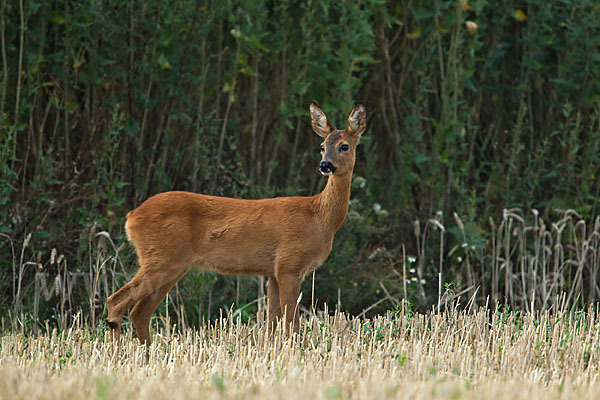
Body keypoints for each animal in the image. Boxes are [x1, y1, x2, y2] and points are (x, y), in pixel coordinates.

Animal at [107, 101, 368, 346]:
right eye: (322, 146)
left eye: (344, 146)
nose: (325, 165)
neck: (318, 218)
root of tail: (132, 217)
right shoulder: (289, 264)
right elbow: (291, 323)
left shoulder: (273, 271)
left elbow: (272, 323)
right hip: (161, 258)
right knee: (117, 301)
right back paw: (116, 354)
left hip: (171, 265)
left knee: (139, 312)